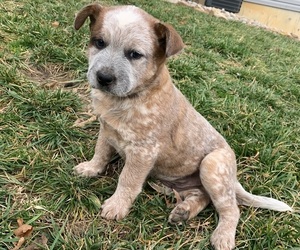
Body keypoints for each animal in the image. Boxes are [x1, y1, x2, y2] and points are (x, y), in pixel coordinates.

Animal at [74, 2, 292, 249]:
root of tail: (234, 178)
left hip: (212, 165)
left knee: (231, 208)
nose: (104, 77)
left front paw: (116, 206)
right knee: (203, 197)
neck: (127, 99)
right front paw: (91, 168)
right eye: (99, 42)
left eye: (135, 54)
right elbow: (100, 152)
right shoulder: (106, 129)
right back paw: (184, 211)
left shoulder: (143, 152)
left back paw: (223, 235)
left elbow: (128, 180)